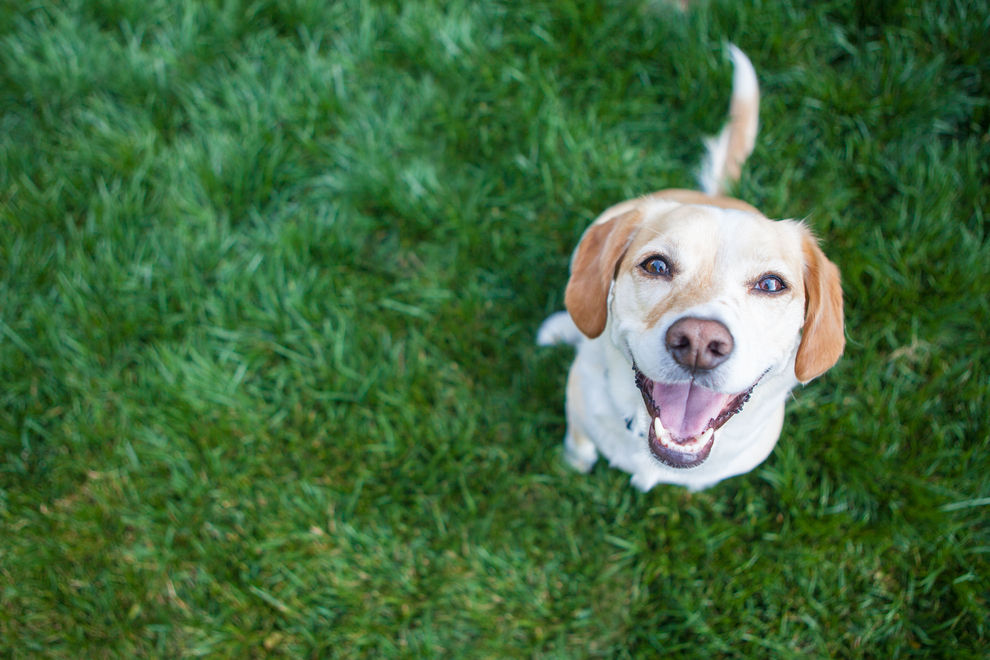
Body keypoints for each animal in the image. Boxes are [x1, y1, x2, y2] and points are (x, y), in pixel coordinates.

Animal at [540, 46, 848, 490]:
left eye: (771, 284)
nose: (700, 343)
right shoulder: (579, 409)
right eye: (656, 265)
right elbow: (579, 445)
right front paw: (573, 464)